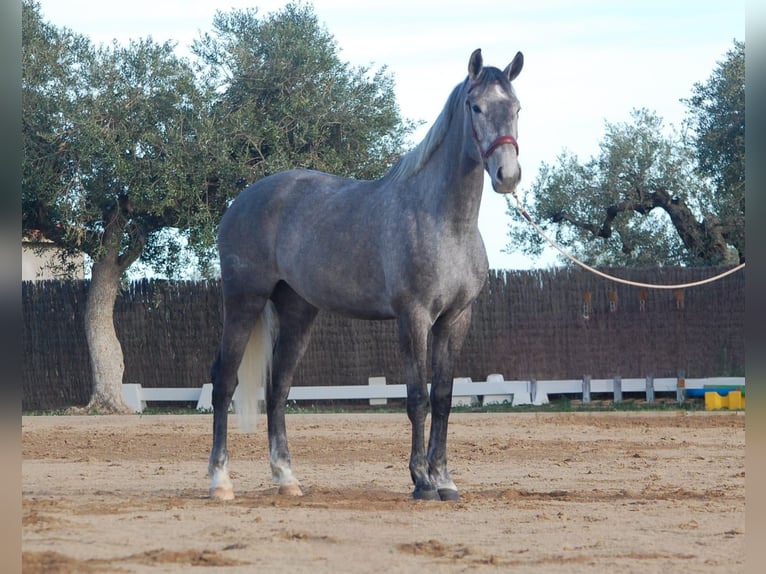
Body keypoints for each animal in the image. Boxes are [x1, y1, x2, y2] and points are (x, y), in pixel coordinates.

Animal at [207, 47, 524, 502]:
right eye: (475, 106)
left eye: (516, 108)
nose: (507, 175)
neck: (444, 220)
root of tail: (242, 201)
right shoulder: (414, 317)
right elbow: (417, 398)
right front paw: (422, 481)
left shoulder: (456, 319)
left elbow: (444, 397)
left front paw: (445, 480)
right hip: (243, 302)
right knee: (224, 383)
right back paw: (220, 482)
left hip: (298, 312)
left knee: (278, 388)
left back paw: (287, 479)